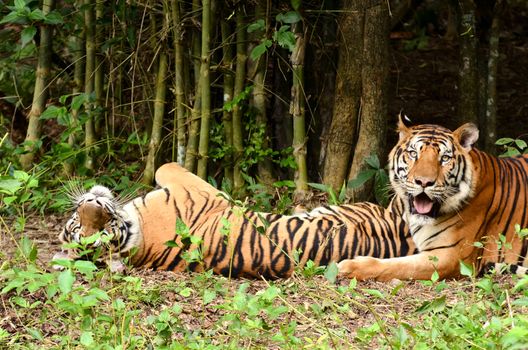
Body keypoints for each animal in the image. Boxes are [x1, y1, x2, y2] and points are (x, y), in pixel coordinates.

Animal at [53, 162, 416, 278]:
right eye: (91, 231)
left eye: (79, 225)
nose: (91, 200)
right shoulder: (199, 190)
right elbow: (167, 165)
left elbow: (162, 166)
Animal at [338, 117, 528, 282]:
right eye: (413, 154)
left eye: (444, 158)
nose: (424, 182)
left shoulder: (450, 256)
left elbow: (400, 266)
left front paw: (349, 266)